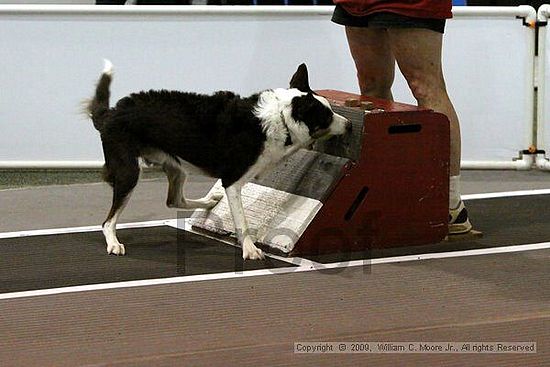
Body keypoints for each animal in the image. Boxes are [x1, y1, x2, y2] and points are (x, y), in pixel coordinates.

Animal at [88, 60, 352, 260]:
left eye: (331, 110)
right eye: (327, 116)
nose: (350, 125)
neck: (281, 118)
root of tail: (110, 113)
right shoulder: (233, 182)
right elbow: (242, 221)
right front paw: (250, 250)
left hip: (176, 167)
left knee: (174, 200)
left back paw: (209, 201)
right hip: (129, 172)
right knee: (108, 221)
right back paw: (113, 242)